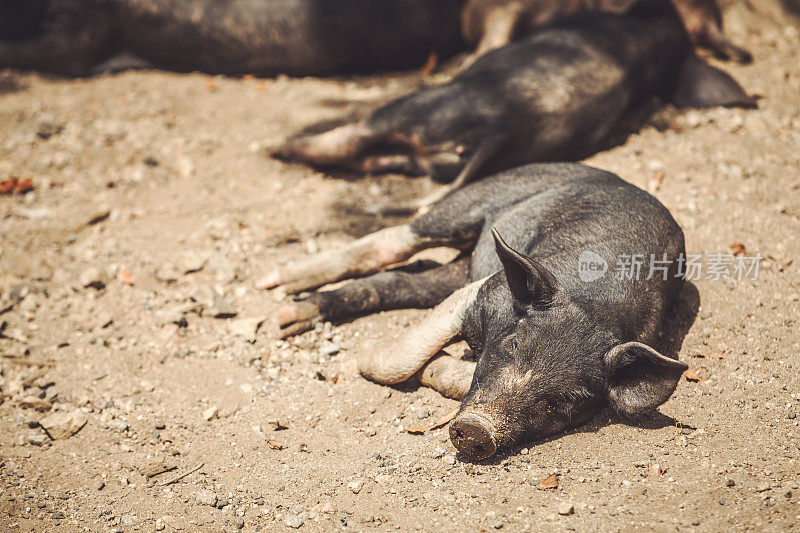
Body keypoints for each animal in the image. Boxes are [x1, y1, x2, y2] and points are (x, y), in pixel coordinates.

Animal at [266, 161, 692, 458]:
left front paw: (435, 368)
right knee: (392, 241)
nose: (476, 430)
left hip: (455, 266)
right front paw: (363, 359)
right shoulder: (484, 291)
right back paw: (275, 290)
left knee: (402, 279)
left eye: (566, 400)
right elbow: (405, 356)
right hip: (475, 199)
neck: (597, 308)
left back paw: (287, 317)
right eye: (514, 345)